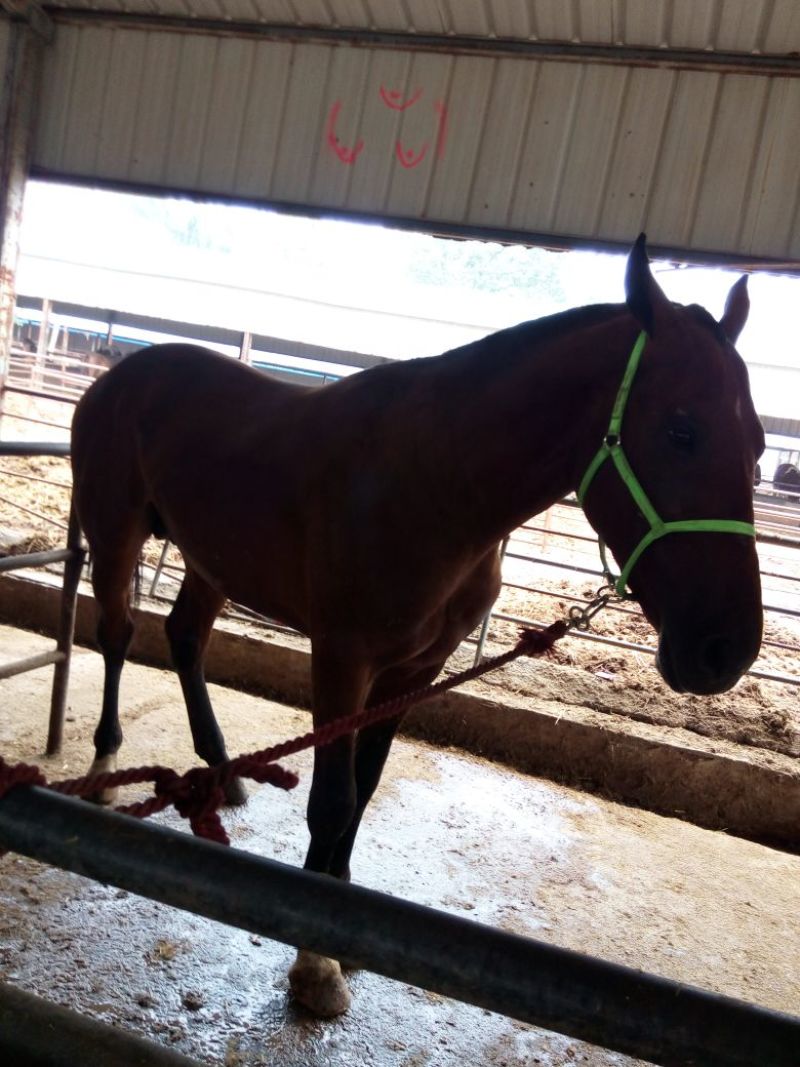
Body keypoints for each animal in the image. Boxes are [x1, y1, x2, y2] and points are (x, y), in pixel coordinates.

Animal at [69, 235, 764, 1017]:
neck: (434, 483)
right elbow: (333, 800)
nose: (725, 649)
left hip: (210, 560)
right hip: (116, 534)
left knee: (185, 638)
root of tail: (118, 373)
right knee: (118, 635)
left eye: (760, 447)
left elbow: (366, 789)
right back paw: (104, 767)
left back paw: (224, 776)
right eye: (682, 429)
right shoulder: (342, 659)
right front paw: (314, 961)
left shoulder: (417, 668)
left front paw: (346, 929)